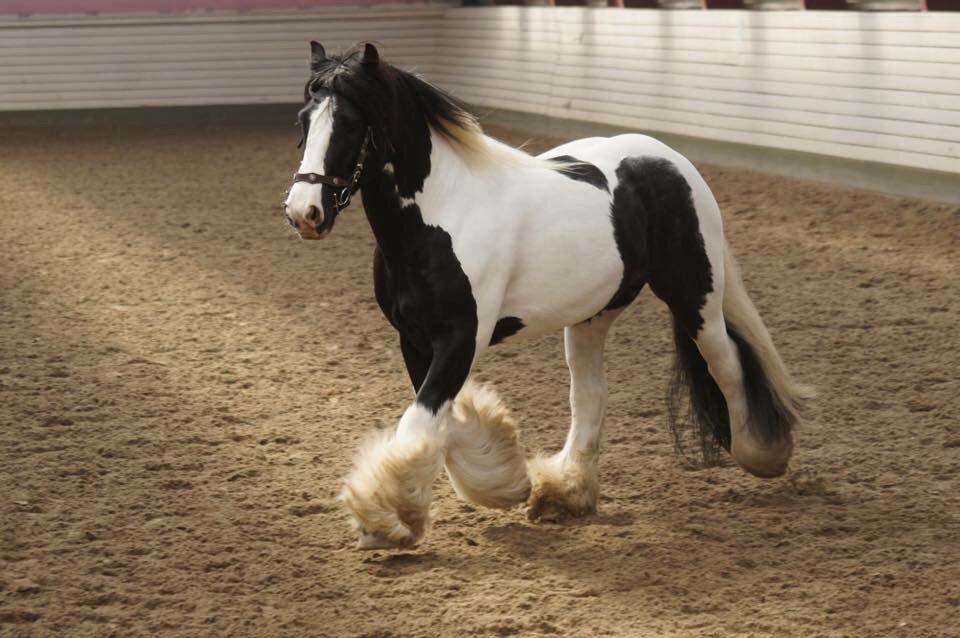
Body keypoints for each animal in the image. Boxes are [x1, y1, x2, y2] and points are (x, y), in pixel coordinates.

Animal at [284, 43, 808, 552]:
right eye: (304, 120)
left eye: (350, 124)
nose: (304, 213)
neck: (440, 217)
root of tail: (670, 160)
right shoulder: (414, 339)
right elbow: (439, 420)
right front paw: (502, 483)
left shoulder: (461, 337)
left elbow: (420, 422)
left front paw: (386, 520)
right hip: (593, 316)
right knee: (591, 395)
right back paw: (566, 491)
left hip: (695, 296)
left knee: (728, 364)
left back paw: (762, 453)